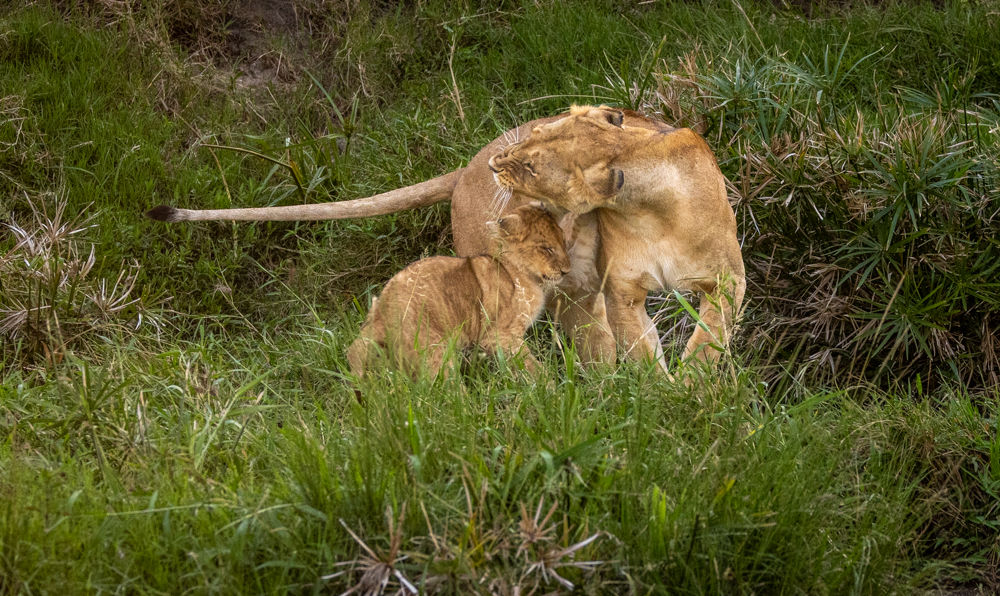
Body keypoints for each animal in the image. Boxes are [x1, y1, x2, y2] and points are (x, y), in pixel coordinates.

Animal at [347, 203, 570, 380]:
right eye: (547, 248)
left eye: (564, 242)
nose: (567, 270)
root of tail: (381, 312)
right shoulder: (499, 336)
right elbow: (532, 365)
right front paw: (551, 387)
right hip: (435, 352)